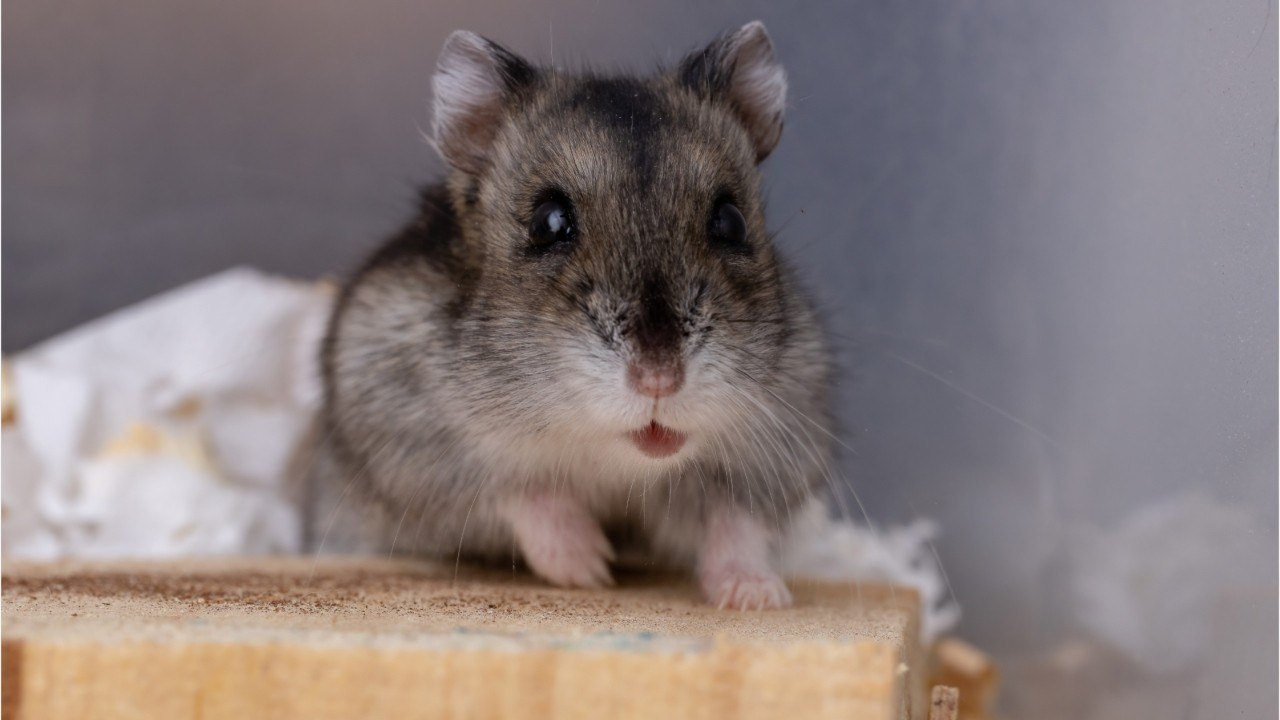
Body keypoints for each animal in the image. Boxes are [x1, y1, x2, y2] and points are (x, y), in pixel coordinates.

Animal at [313, 21, 833, 610]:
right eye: (548, 222)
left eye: (730, 220)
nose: (660, 380)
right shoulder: (411, 446)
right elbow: (518, 489)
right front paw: (591, 566)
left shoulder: (781, 440)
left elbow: (735, 518)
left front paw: (759, 596)